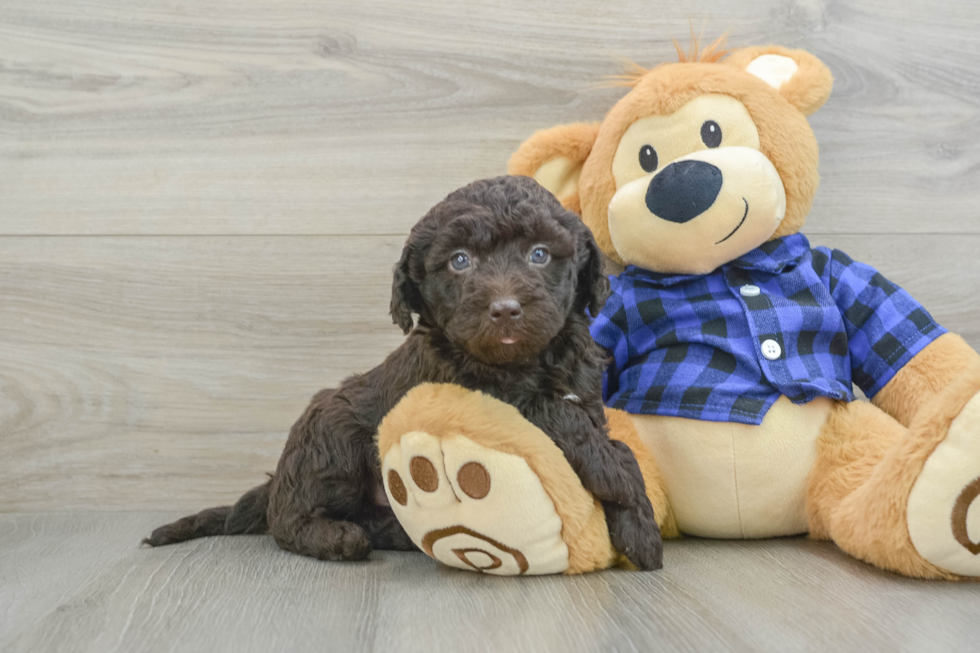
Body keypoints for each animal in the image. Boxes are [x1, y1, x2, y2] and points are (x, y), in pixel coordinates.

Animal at [145, 176, 664, 568]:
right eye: (459, 262)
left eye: (539, 253)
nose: (504, 309)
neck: (527, 360)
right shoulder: (482, 393)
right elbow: (568, 422)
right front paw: (625, 488)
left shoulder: (587, 398)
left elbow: (608, 440)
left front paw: (636, 524)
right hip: (331, 437)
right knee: (286, 519)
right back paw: (338, 539)